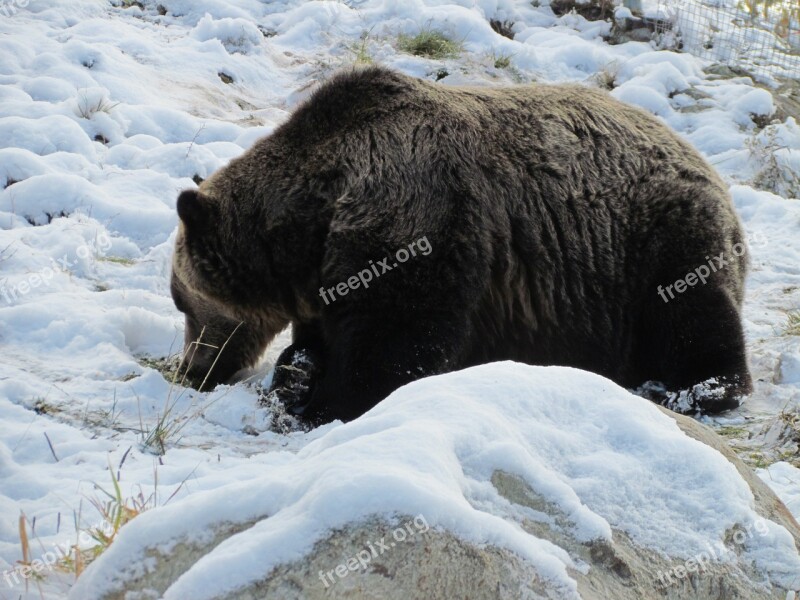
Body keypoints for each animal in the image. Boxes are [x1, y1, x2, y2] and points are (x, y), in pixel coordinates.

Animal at [169, 64, 752, 422]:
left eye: (182, 304)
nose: (191, 369)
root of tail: (711, 170)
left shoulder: (417, 221)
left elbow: (398, 343)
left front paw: (323, 404)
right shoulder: (329, 275)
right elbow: (323, 338)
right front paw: (297, 373)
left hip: (650, 242)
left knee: (691, 312)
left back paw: (694, 388)